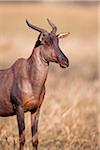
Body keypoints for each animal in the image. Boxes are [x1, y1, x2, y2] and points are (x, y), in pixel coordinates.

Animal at [0, 19, 70, 149]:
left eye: (57, 41)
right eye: (45, 42)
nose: (65, 62)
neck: (29, 76)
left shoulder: (36, 109)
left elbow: (35, 139)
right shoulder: (19, 108)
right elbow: (22, 138)